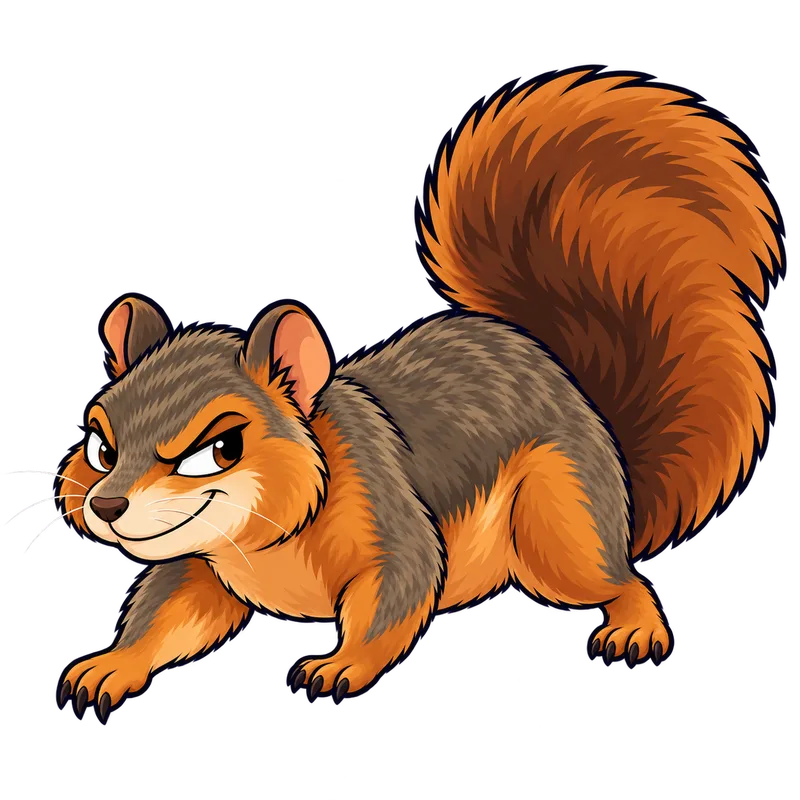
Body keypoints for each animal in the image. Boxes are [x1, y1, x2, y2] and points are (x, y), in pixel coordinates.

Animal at [53, 65, 785, 722]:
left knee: (618, 578)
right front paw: (110, 666)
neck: (263, 542)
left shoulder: (390, 521)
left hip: (558, 523)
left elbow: (395, 596)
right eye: (98, 443)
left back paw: (636, 626)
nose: (106, 505)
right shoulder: (201, 562)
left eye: (221, 448)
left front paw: (340, 666)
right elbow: (169, 614)